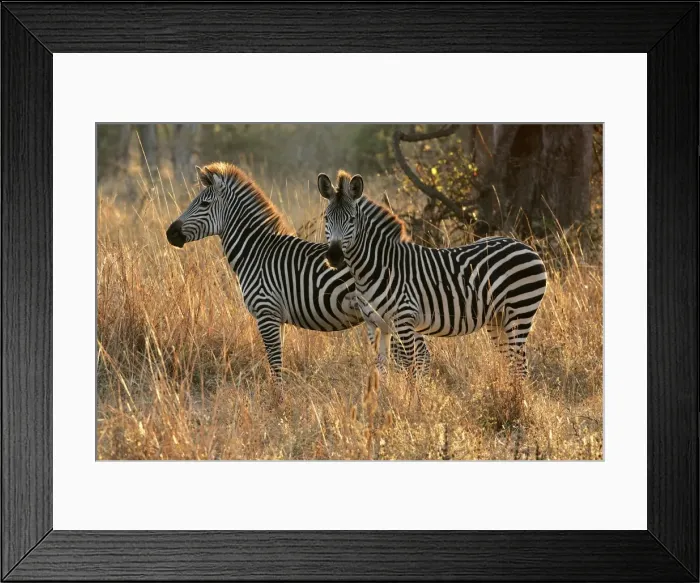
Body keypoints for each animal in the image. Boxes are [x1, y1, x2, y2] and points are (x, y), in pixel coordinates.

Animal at [165, 162, 430, 381]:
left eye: (204, 204)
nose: (170, 234)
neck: (256, 251)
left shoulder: (266, 313)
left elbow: (275, 365)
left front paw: (278, 403)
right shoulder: (276, 318)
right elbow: (277, 362)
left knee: (420, 355)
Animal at [318, 170, 547, 378]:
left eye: (352, 220)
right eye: (326, 218)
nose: (334, 256)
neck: (375, 268)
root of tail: (525, 246)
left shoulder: (404, 321)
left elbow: (409, 368)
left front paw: (410, 397)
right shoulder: (376, 325)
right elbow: (381, 369)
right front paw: (383, 397)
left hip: (520, 310)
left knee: (520, 364)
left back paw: (516, 396)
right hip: (497, 318)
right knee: (512, 362)